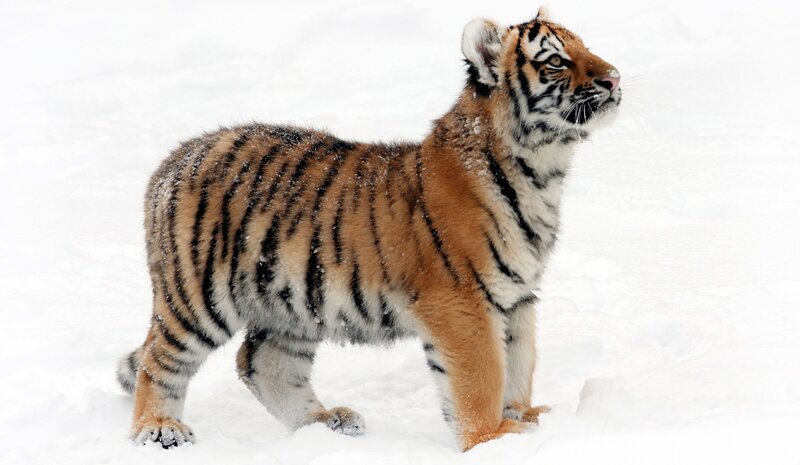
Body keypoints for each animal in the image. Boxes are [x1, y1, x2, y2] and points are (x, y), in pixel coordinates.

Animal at [116, 7, 621, 451]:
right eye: (556, 60)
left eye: (585, 46)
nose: (614, 78)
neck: (542, 170)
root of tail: (174, 158)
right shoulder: (463, 302)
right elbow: (482, 376)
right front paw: (491, 439)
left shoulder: (517, 298)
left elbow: (519, 363)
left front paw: (526, 419)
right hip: (198, 296)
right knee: (159, 361)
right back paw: (159, 430)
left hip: (292, 304)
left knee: (262, 363)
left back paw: (326, 424)